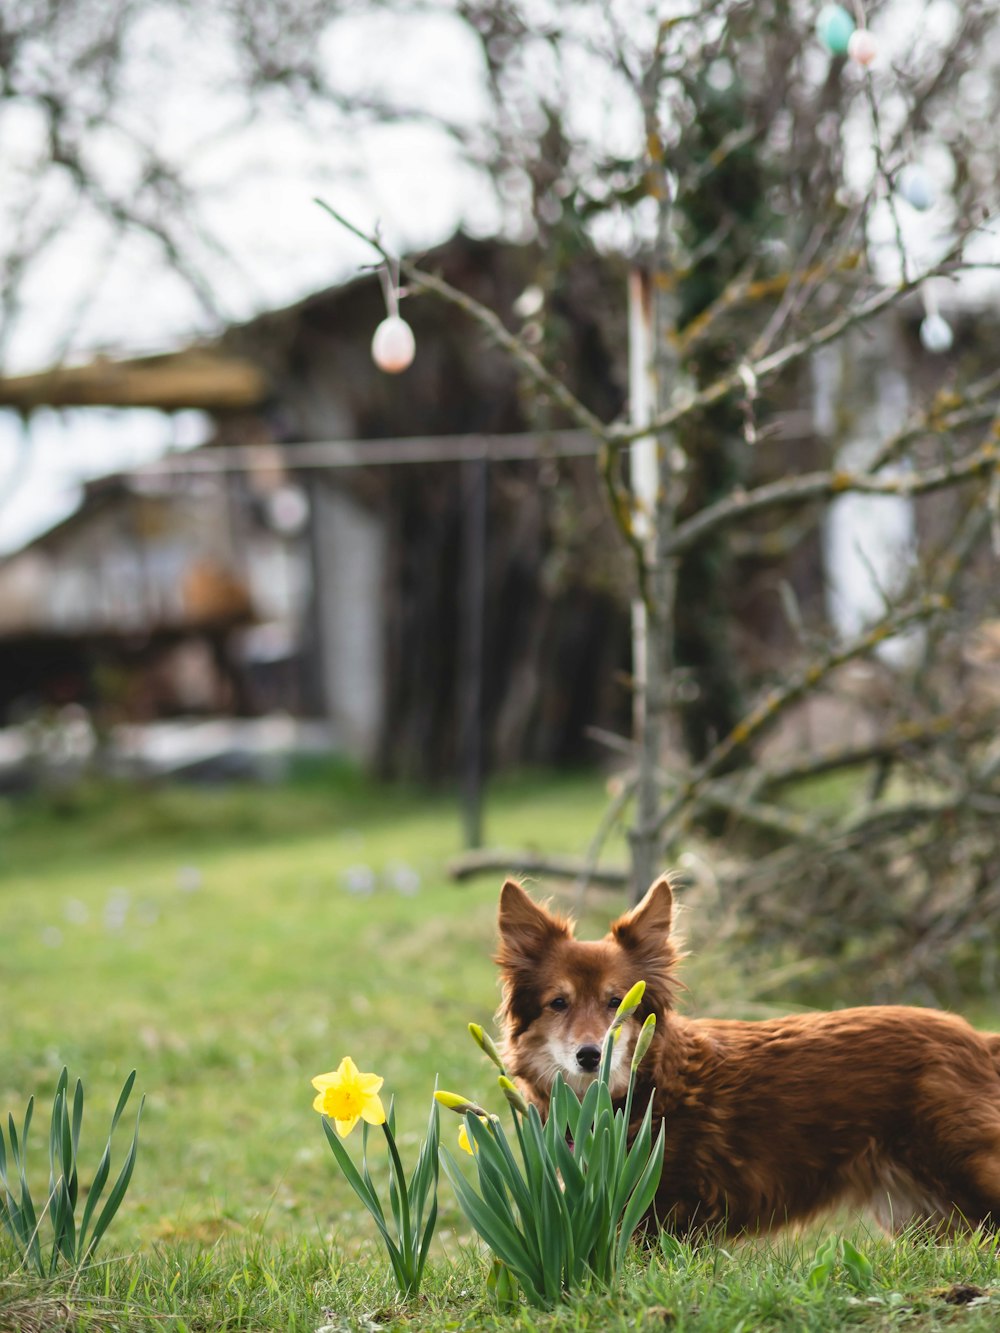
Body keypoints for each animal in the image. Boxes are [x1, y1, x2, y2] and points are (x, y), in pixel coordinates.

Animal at [501, 874, 1000, 1237]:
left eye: (616, 1002)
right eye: (558, 1003)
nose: (590, 1055)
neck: (637, 1089)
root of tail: (978, 1039)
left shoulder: (664, 1216)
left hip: (963, 1170)